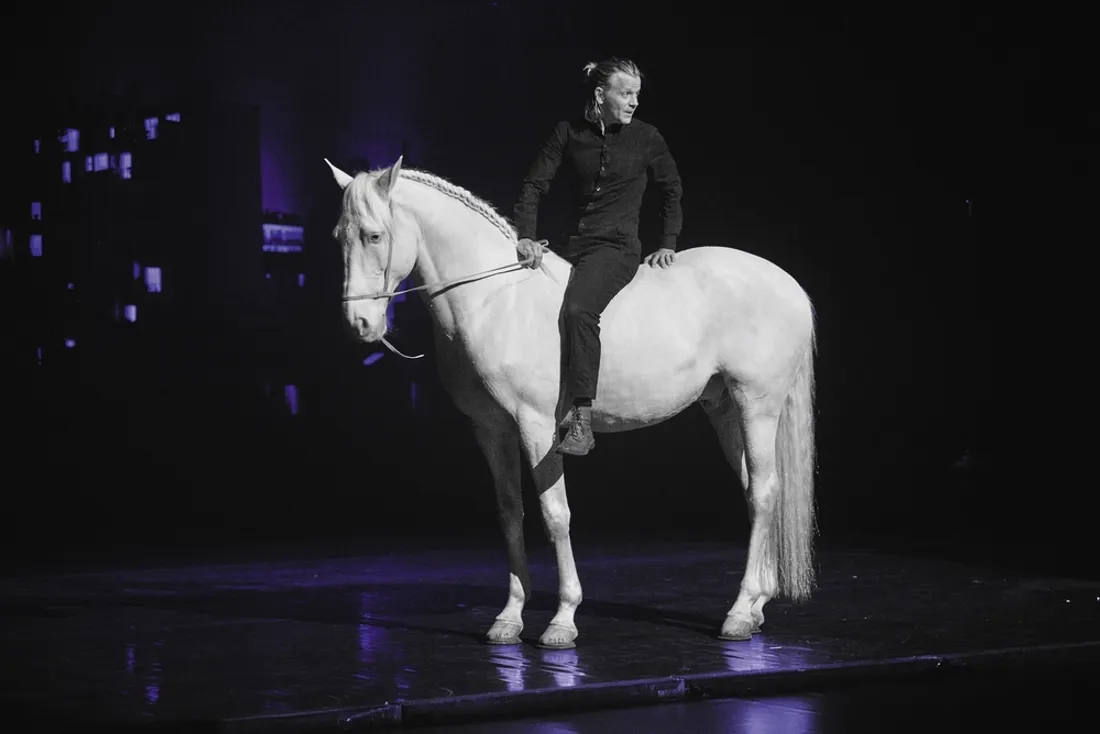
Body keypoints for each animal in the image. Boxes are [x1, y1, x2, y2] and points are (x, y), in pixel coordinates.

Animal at [326, 156, 817, 649]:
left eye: (373, 235)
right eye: (338, 237)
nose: (358, 324)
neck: (496, 303)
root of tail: (789, 284)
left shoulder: (537, 427)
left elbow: (554, 515)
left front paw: (563, 618)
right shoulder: (491, 429)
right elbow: (510, 512)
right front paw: (509, 616)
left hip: (757, 406)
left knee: (764, 494)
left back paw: (739, 611)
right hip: (725, 410)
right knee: (755, 489)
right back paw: (756, 605)